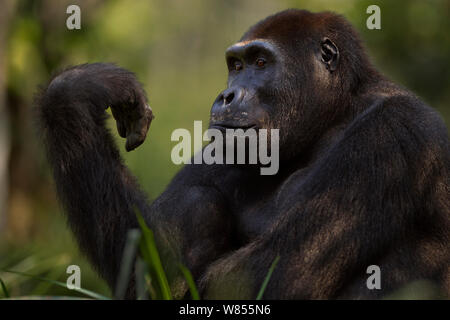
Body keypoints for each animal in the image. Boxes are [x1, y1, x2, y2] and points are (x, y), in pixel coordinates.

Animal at [35, 10, 450, 300]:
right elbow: (148, 275)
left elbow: (259, 278)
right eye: (236, 66)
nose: (226, 95)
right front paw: (74, 91)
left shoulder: (392, 130)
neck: (337, 111)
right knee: (200, 200)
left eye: (260, 62)